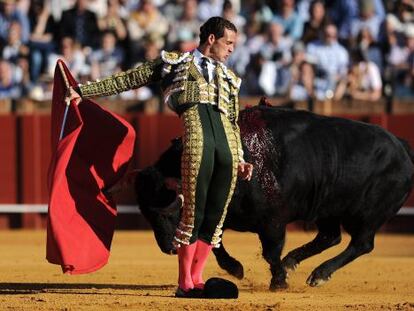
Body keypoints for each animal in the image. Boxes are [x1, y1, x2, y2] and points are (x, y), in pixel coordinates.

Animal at [133, 106, 414, 292]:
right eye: (146, 214)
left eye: (171, 211)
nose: (169, 248)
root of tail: (402, 146)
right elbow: (215, 243)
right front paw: (236, 269)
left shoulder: (273, 221)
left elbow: (270, 252)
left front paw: (278, 282)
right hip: (327, 209)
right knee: (330, 236)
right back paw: (294, 262)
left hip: (368, 215)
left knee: (361, 244)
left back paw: (319, 274)